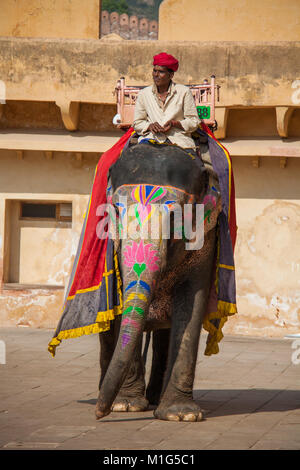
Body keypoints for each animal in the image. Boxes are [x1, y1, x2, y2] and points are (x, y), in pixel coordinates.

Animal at [95, 140, 221, 422]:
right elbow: (121, 300)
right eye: (116, 211)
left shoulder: (206, 236)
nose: (99, 413)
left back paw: (154, 398)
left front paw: (182, 415)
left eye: (175, 217)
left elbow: (192, 301)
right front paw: (125, 406)